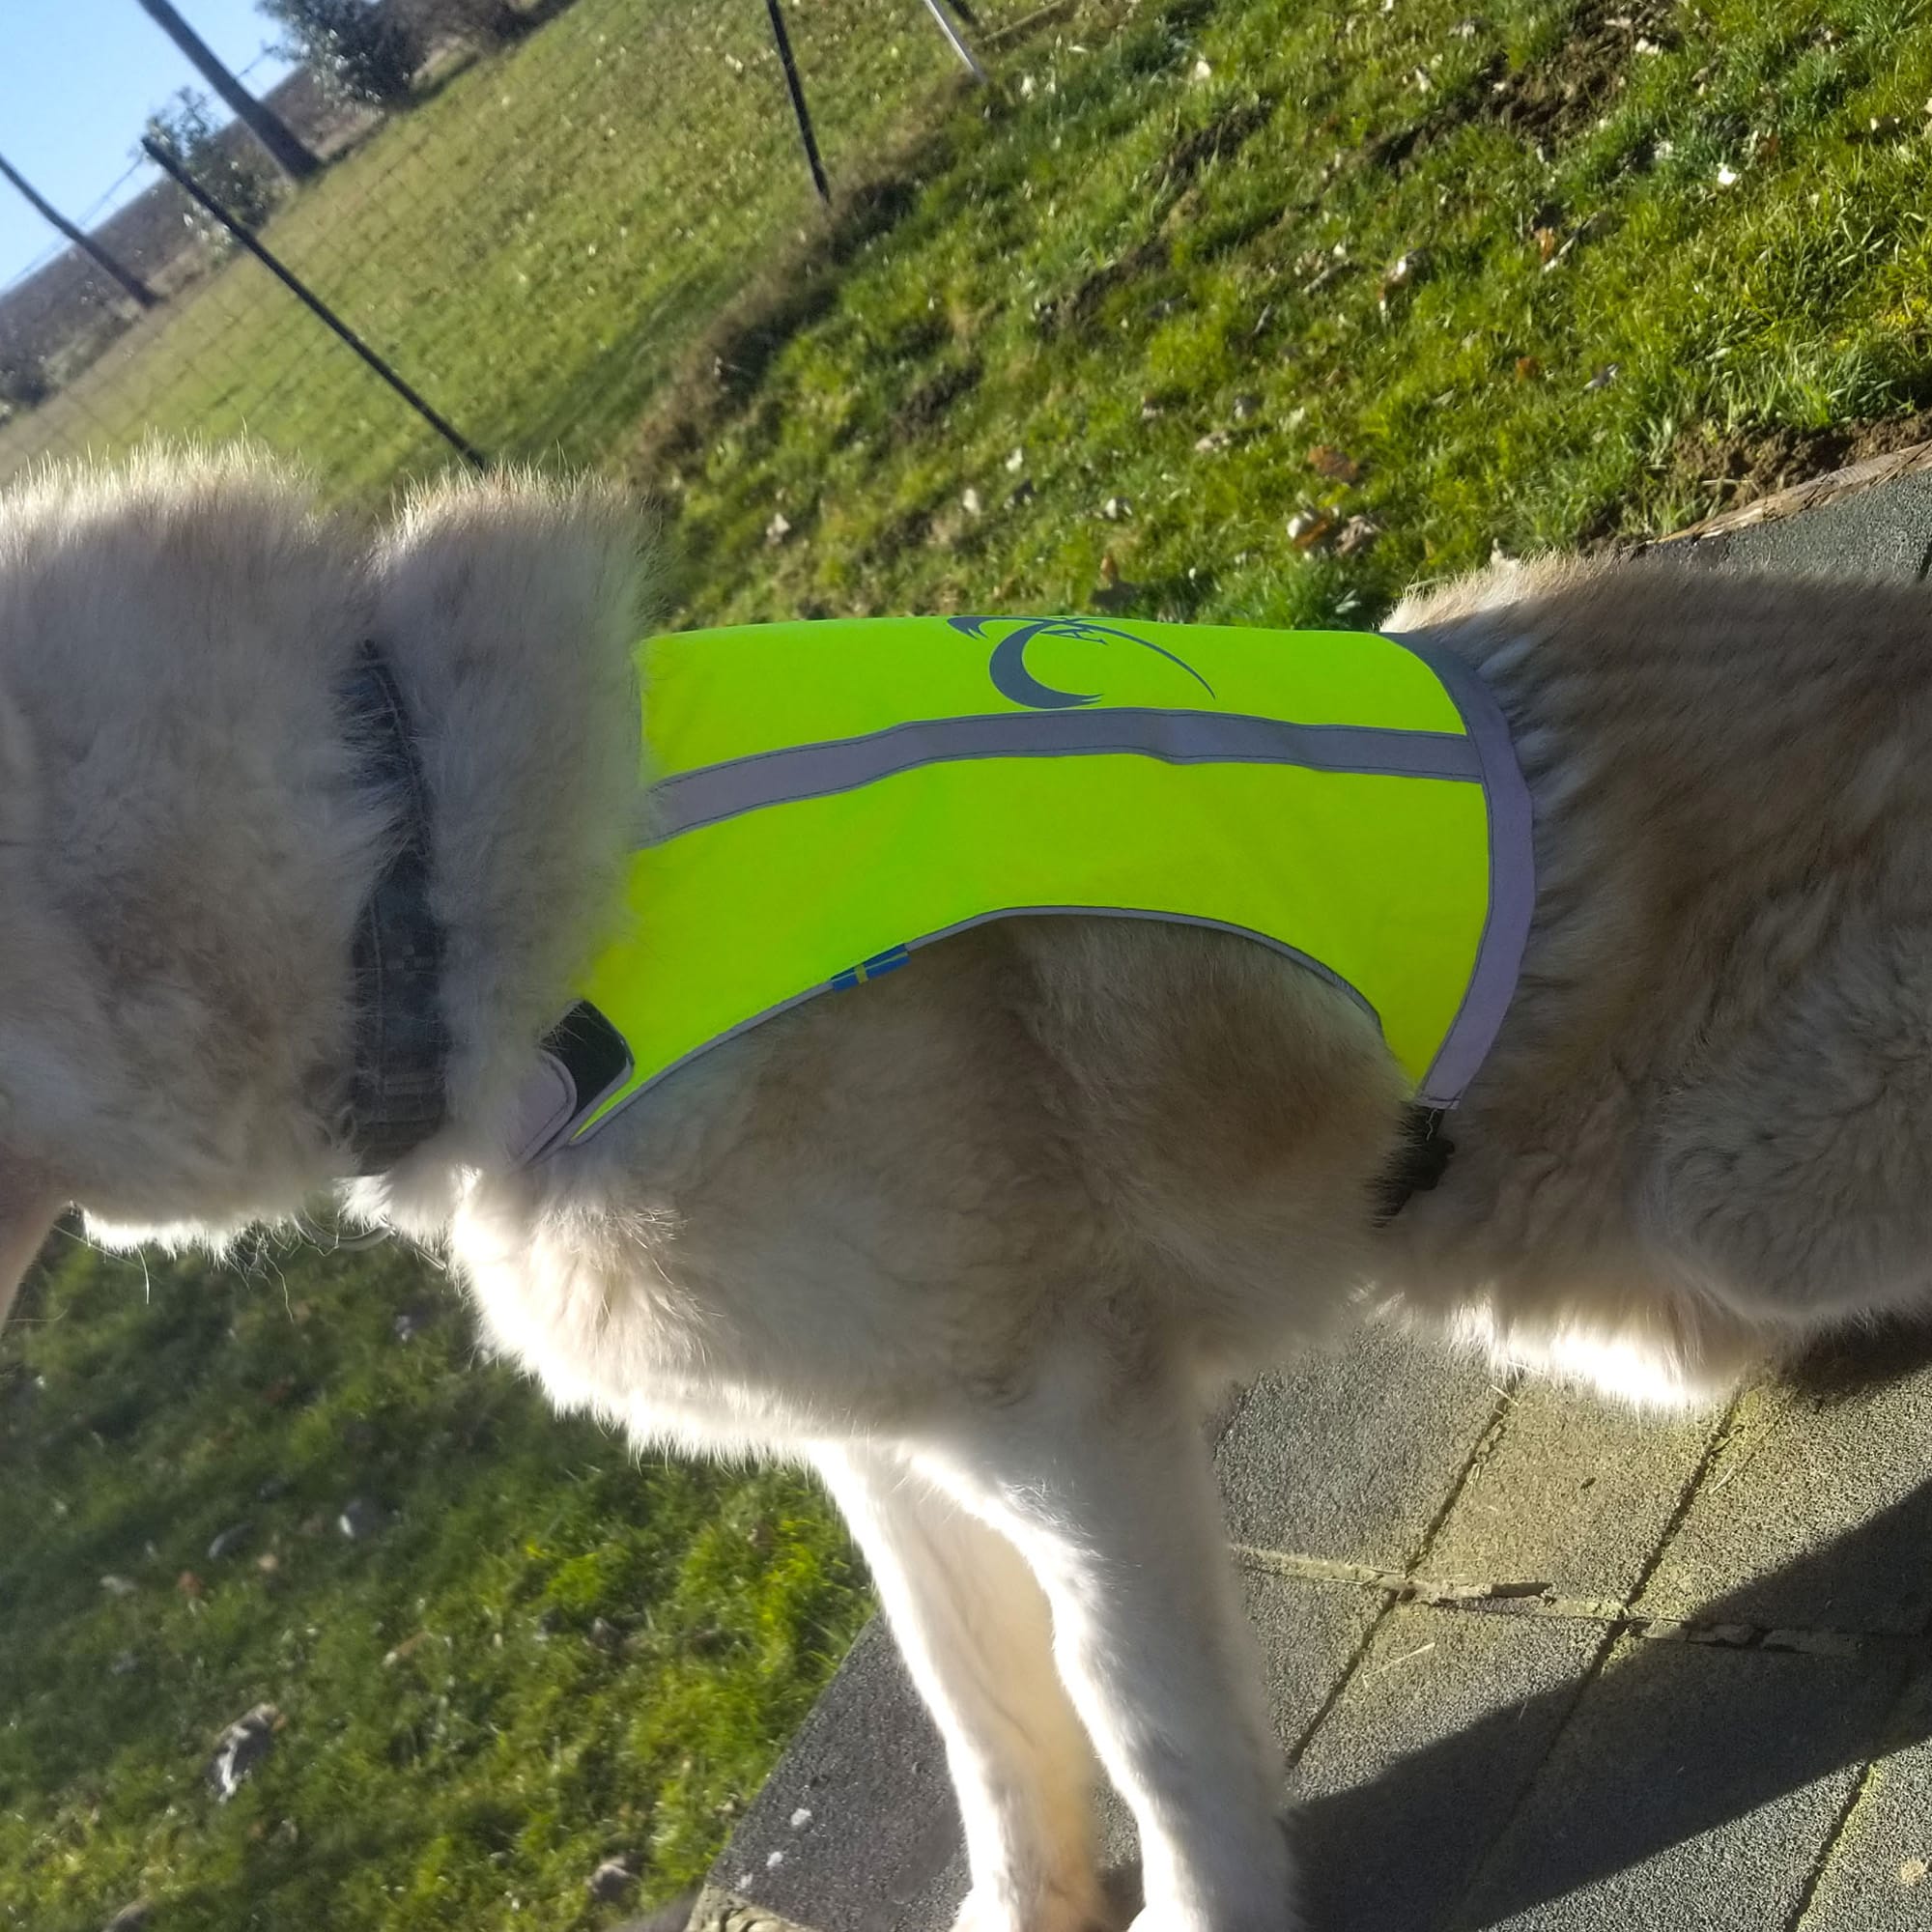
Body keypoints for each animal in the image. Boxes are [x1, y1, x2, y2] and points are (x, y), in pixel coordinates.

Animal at [7, 444, 1924, 1924]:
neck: (404, 865)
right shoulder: (879, 1446)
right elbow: (980, 1714)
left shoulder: (1061, 1414)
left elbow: (1132, 1708)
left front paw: (1209, 1905)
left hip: (1734, 1187)